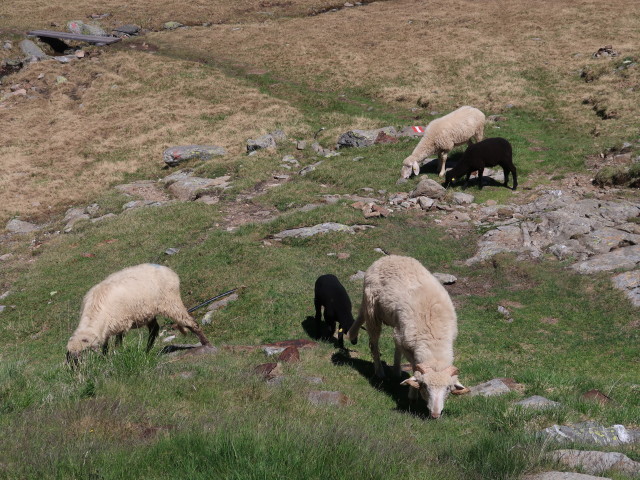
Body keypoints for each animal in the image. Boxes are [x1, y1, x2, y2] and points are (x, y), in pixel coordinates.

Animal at [67, 264, 212, 362]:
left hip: (171, 303)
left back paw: (206, 344)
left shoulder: (122, 323)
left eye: (81, 357)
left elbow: (118, 343)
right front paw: (104, 358)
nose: (77, 375)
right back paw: (147, 350)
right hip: (150, 313)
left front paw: (116, 354)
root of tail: (169, 271)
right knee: (154, 329)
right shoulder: (106, 330)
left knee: (190, 321)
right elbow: (105, 346)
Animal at [344, 256, 470, 418]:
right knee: (374, 342)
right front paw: (412, 395)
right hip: (372, 309)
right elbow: (414, 366)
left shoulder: (404, 336)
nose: (435, 414)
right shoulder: (407, 342)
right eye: (425, 387)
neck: (434, 341)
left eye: (448, 388)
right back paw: (379, 371)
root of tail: (387, 257)